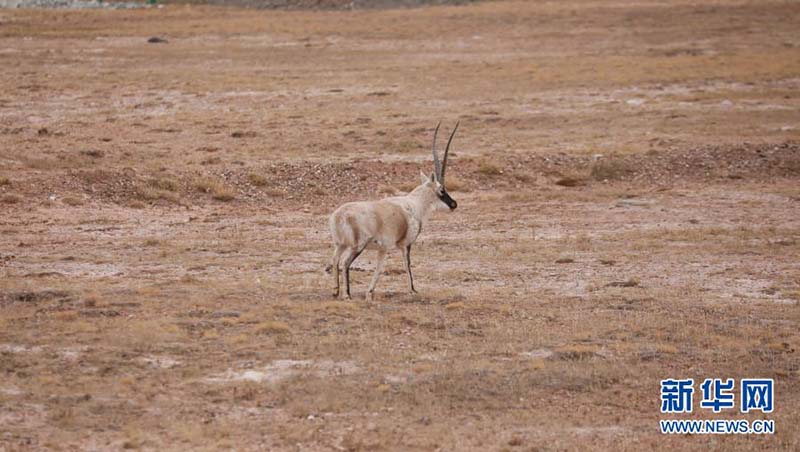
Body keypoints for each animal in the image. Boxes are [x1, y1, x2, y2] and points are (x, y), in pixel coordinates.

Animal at [328, 123, 460, 300]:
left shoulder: (383, 249)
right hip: (357, 246)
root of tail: (339, 216)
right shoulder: (406, 244)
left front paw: (370, 292)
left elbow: (378, 269)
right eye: (442, 190)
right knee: (345, 263)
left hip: (340, 244)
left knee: (335, 260)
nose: (454, 204)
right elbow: (407, 264)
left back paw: (335, 291)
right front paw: (413, 289)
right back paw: (347, 294)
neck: (415, 204)